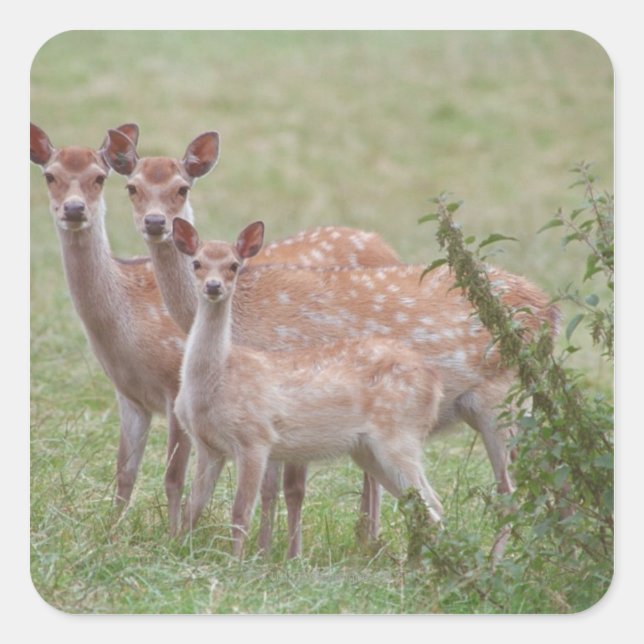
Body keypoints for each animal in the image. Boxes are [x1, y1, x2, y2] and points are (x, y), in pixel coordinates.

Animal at [101, 127, 402, 556]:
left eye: (182, 188)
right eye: (132, 187)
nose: (156, 222)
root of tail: (384, 244)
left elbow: (282, 484)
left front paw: (278, 553)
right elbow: (267, 485)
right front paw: (264, 549)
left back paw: (369, 537)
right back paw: (365, 535)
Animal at [172, 219, 445, 558]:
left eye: (234, 265)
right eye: (196, 263)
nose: (213, 286)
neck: (217, 378)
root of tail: (435, 382)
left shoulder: (255, 437)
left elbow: (240, 511)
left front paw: (236, 561)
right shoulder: (208, 446)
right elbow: (193, 506)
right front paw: (178, 546)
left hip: (399, 435)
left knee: (432, 505)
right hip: (368, 450)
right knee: (424, 503)